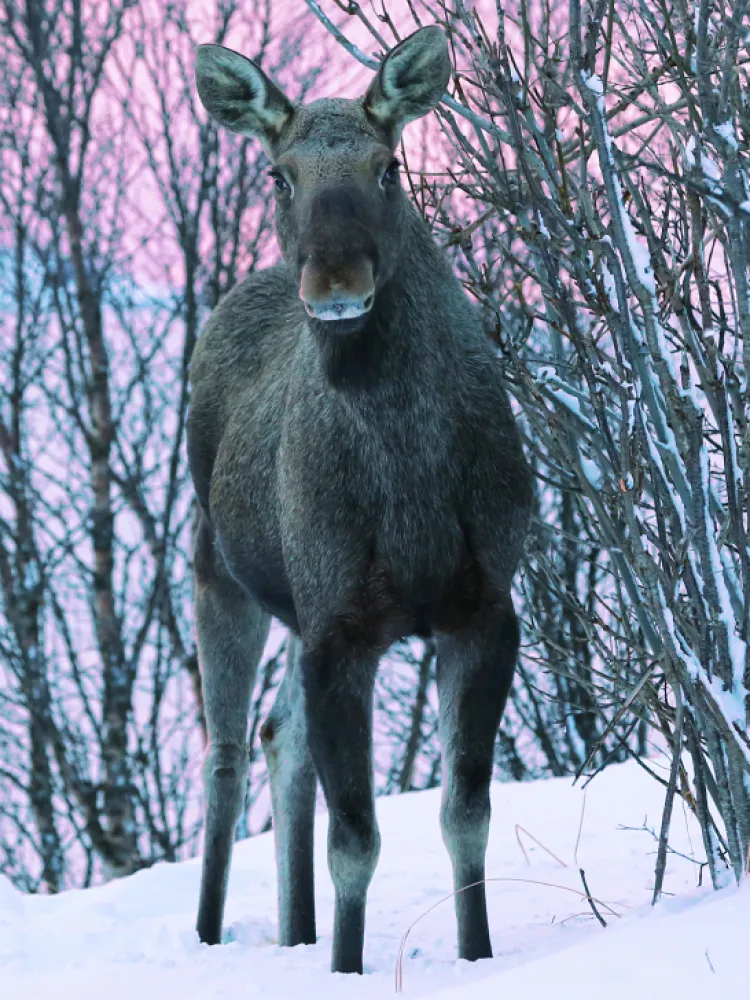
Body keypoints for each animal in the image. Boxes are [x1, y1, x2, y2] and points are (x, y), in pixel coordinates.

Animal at [194, 25, 536, 976]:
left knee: (280, 739)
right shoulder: (340, 628)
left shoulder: (483, 607)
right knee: (226, 754)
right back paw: (211, 935)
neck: (410, 489)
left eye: (389, 166)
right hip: (218, 572)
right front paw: (347, 970)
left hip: (294, 605)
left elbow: (465, 816)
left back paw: (297, 932)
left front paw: (476, 954)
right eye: (280, 174)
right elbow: (356, 840)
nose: (337, 282)